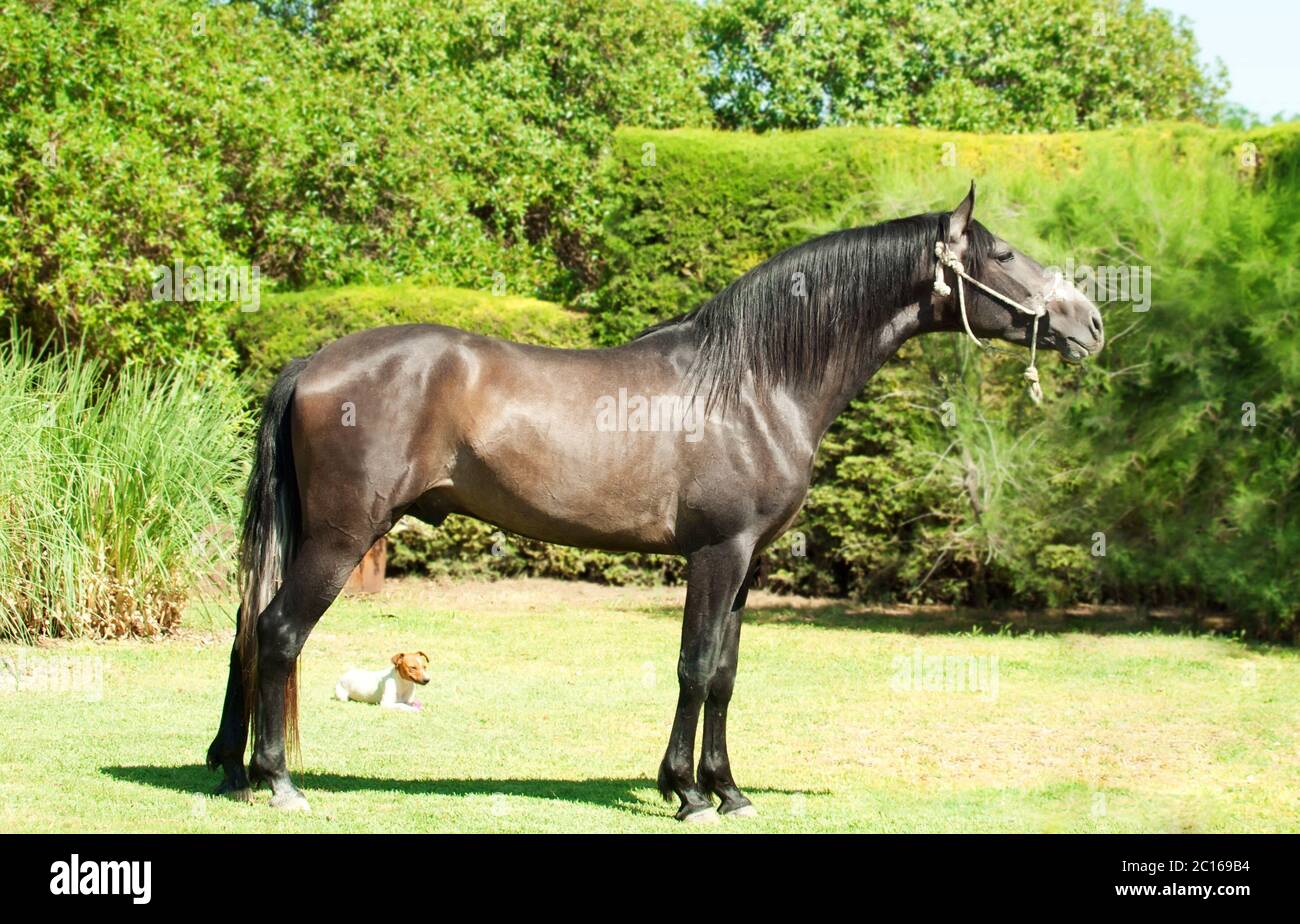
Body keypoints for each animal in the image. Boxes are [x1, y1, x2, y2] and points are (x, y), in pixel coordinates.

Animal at [208, 184, 1102, 821]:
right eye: (1005, 253)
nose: (1089, 323)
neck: (754, 380)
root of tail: (315, 362)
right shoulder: (717, 554)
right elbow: (695, 667)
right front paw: (689, 793)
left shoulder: (748, 565)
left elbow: (726, 675)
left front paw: (728, 788)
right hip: (340, 537)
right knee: (280, 633)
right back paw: (278, 781)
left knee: (250, 631)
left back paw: (232, 771)